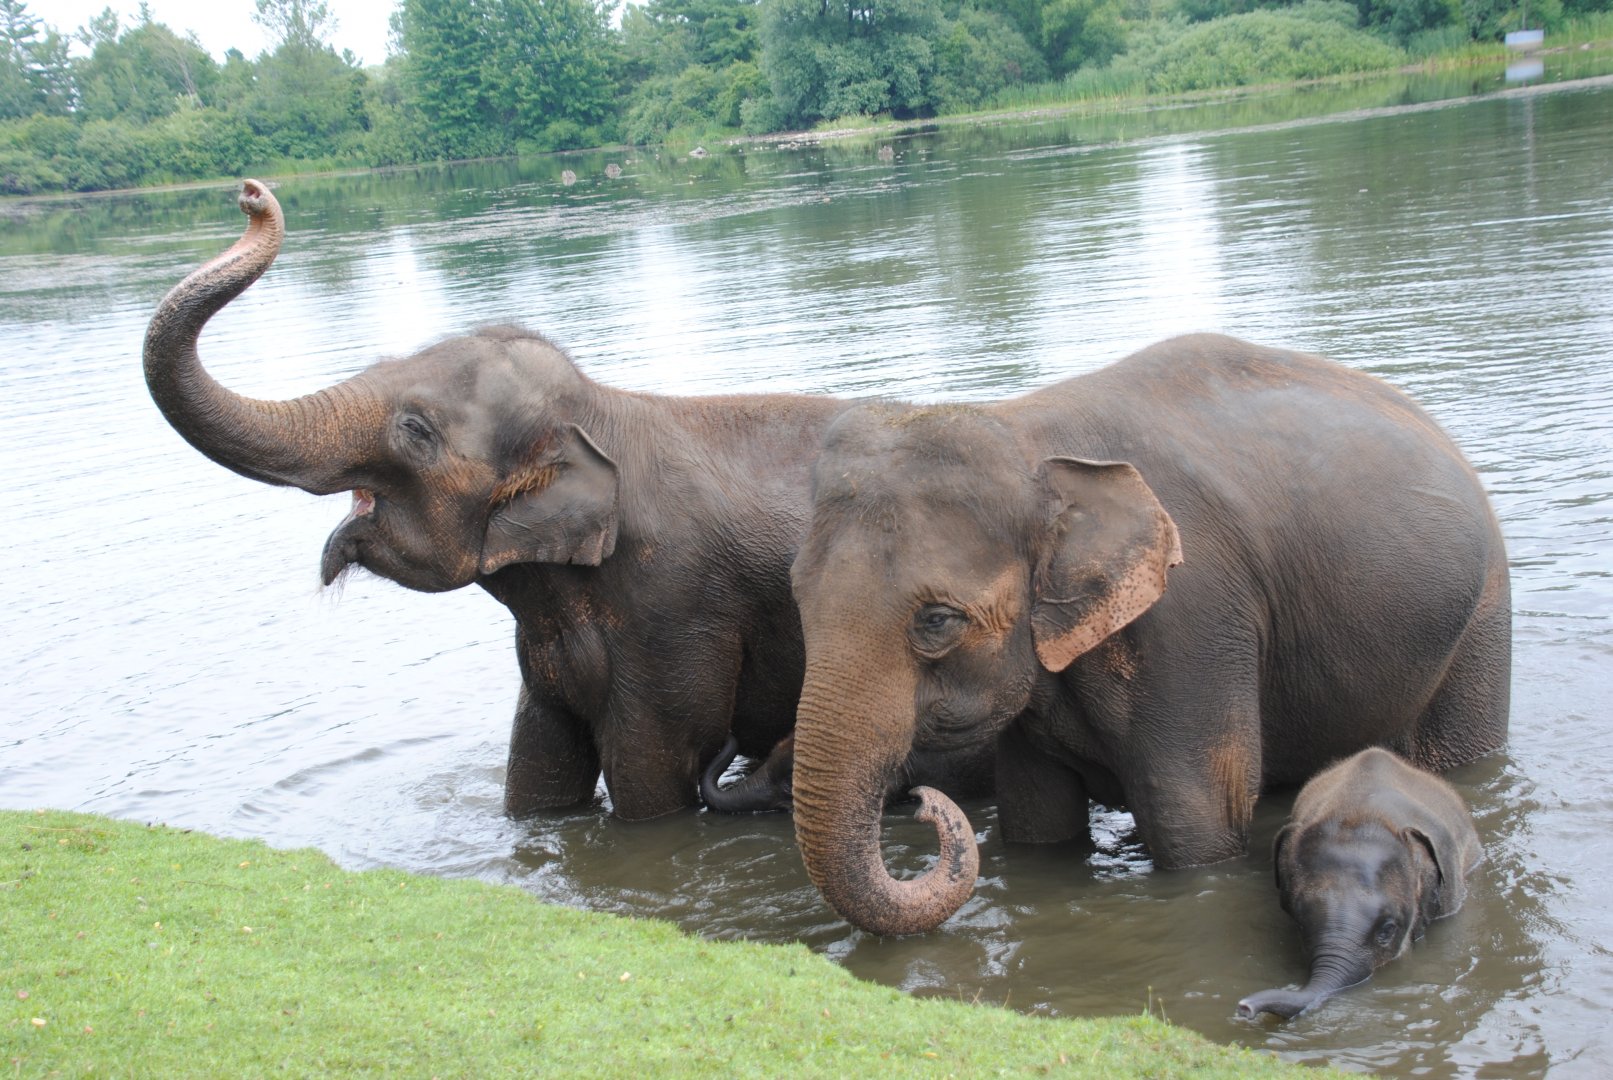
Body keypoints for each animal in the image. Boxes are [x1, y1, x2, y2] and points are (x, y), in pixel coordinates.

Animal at [141, 179, 989, 822]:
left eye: (414, 431)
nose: (250, 192)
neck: (599, 410)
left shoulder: (672, 610)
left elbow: (650, 787)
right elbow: (537, 779)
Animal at [783, 333, 1510, 936]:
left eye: (936, 620)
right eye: (796, 597)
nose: (924, 802)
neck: (1023, 434)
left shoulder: (1193, 619)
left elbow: (1197, 816)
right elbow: (1037, 817)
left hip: (1482, 611)